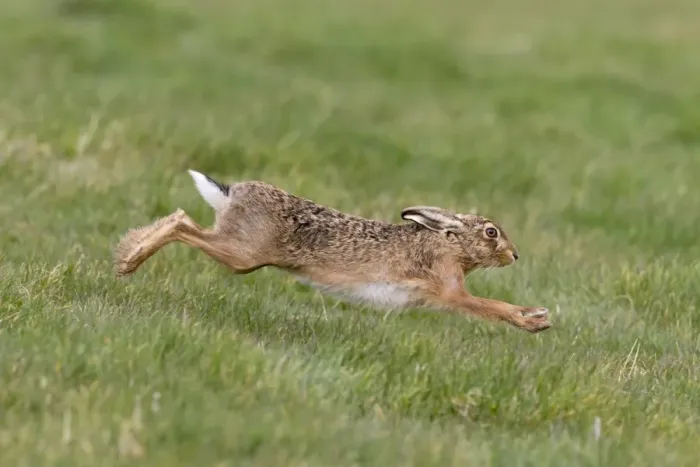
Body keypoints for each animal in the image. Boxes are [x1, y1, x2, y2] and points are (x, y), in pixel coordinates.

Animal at [114, 170, 551, 333]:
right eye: (491, 232)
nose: (514, 255)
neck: (449, 243)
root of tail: (231, 193)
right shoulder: (449, 291)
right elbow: (489, 305)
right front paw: (534, 320)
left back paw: (126, 252)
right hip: (242, 254)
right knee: (181, 222)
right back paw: (128, 260)